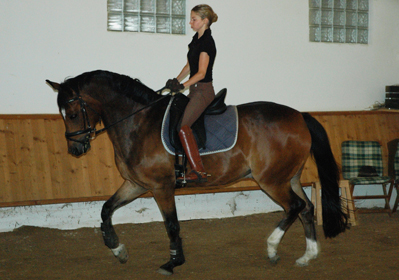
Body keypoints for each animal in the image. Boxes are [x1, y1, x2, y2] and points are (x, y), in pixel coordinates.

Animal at [46, 70, 346, 276]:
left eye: (72, 113)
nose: (76, 149)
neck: (138, 122)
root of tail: (299, 116)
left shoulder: (161, 187)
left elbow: (171, 225)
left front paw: (172, 262)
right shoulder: (134, 184)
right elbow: (106, 209)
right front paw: (117, 248)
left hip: (271, 180)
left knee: (294, 207)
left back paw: (272, 248)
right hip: (288, 177)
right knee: (306, 208)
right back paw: (308, 255)